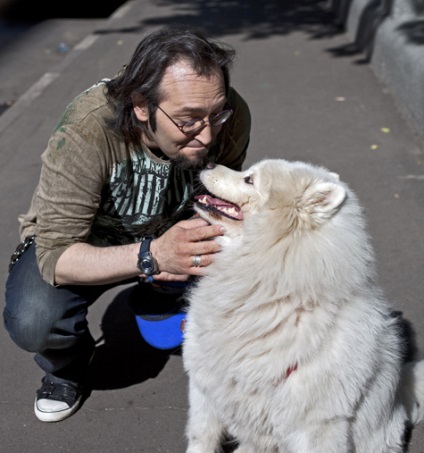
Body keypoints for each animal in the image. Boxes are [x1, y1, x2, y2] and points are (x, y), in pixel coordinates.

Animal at [181, 159, 424, 452]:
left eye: (249, 179)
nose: (208, 162)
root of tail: (400, 393)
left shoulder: (316, 423)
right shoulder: (205, 387)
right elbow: (201, 437)